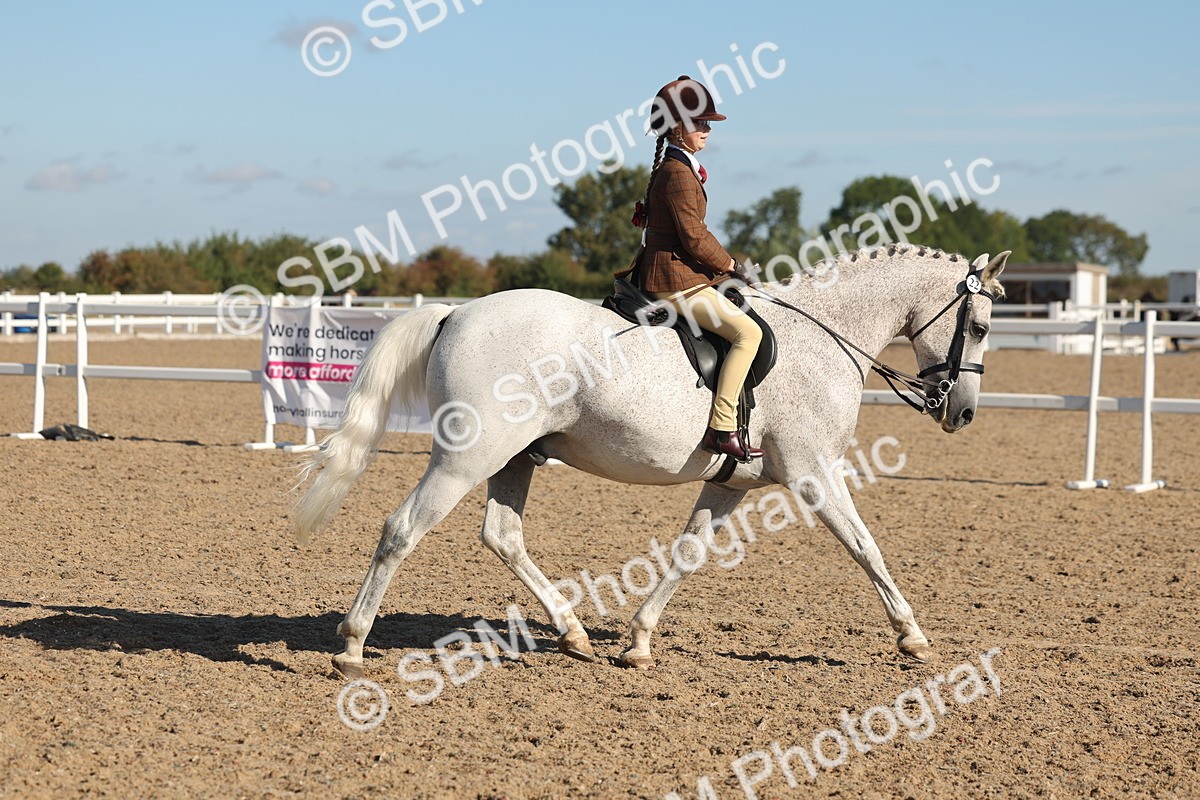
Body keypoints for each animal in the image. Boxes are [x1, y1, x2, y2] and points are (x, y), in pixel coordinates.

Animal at [294, 244, 1009, 678]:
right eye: (978, 327)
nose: (962, 413)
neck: (823, 336)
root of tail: (456, 313)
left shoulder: (732, 484)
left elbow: (689, 552)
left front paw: (637, 641)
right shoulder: (814, 474)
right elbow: (866, 547)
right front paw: (912, 636)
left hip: (513, 459)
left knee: (501, 535)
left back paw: (574, 634)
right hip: (467, 458)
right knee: (402, 529)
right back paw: (352, 646)